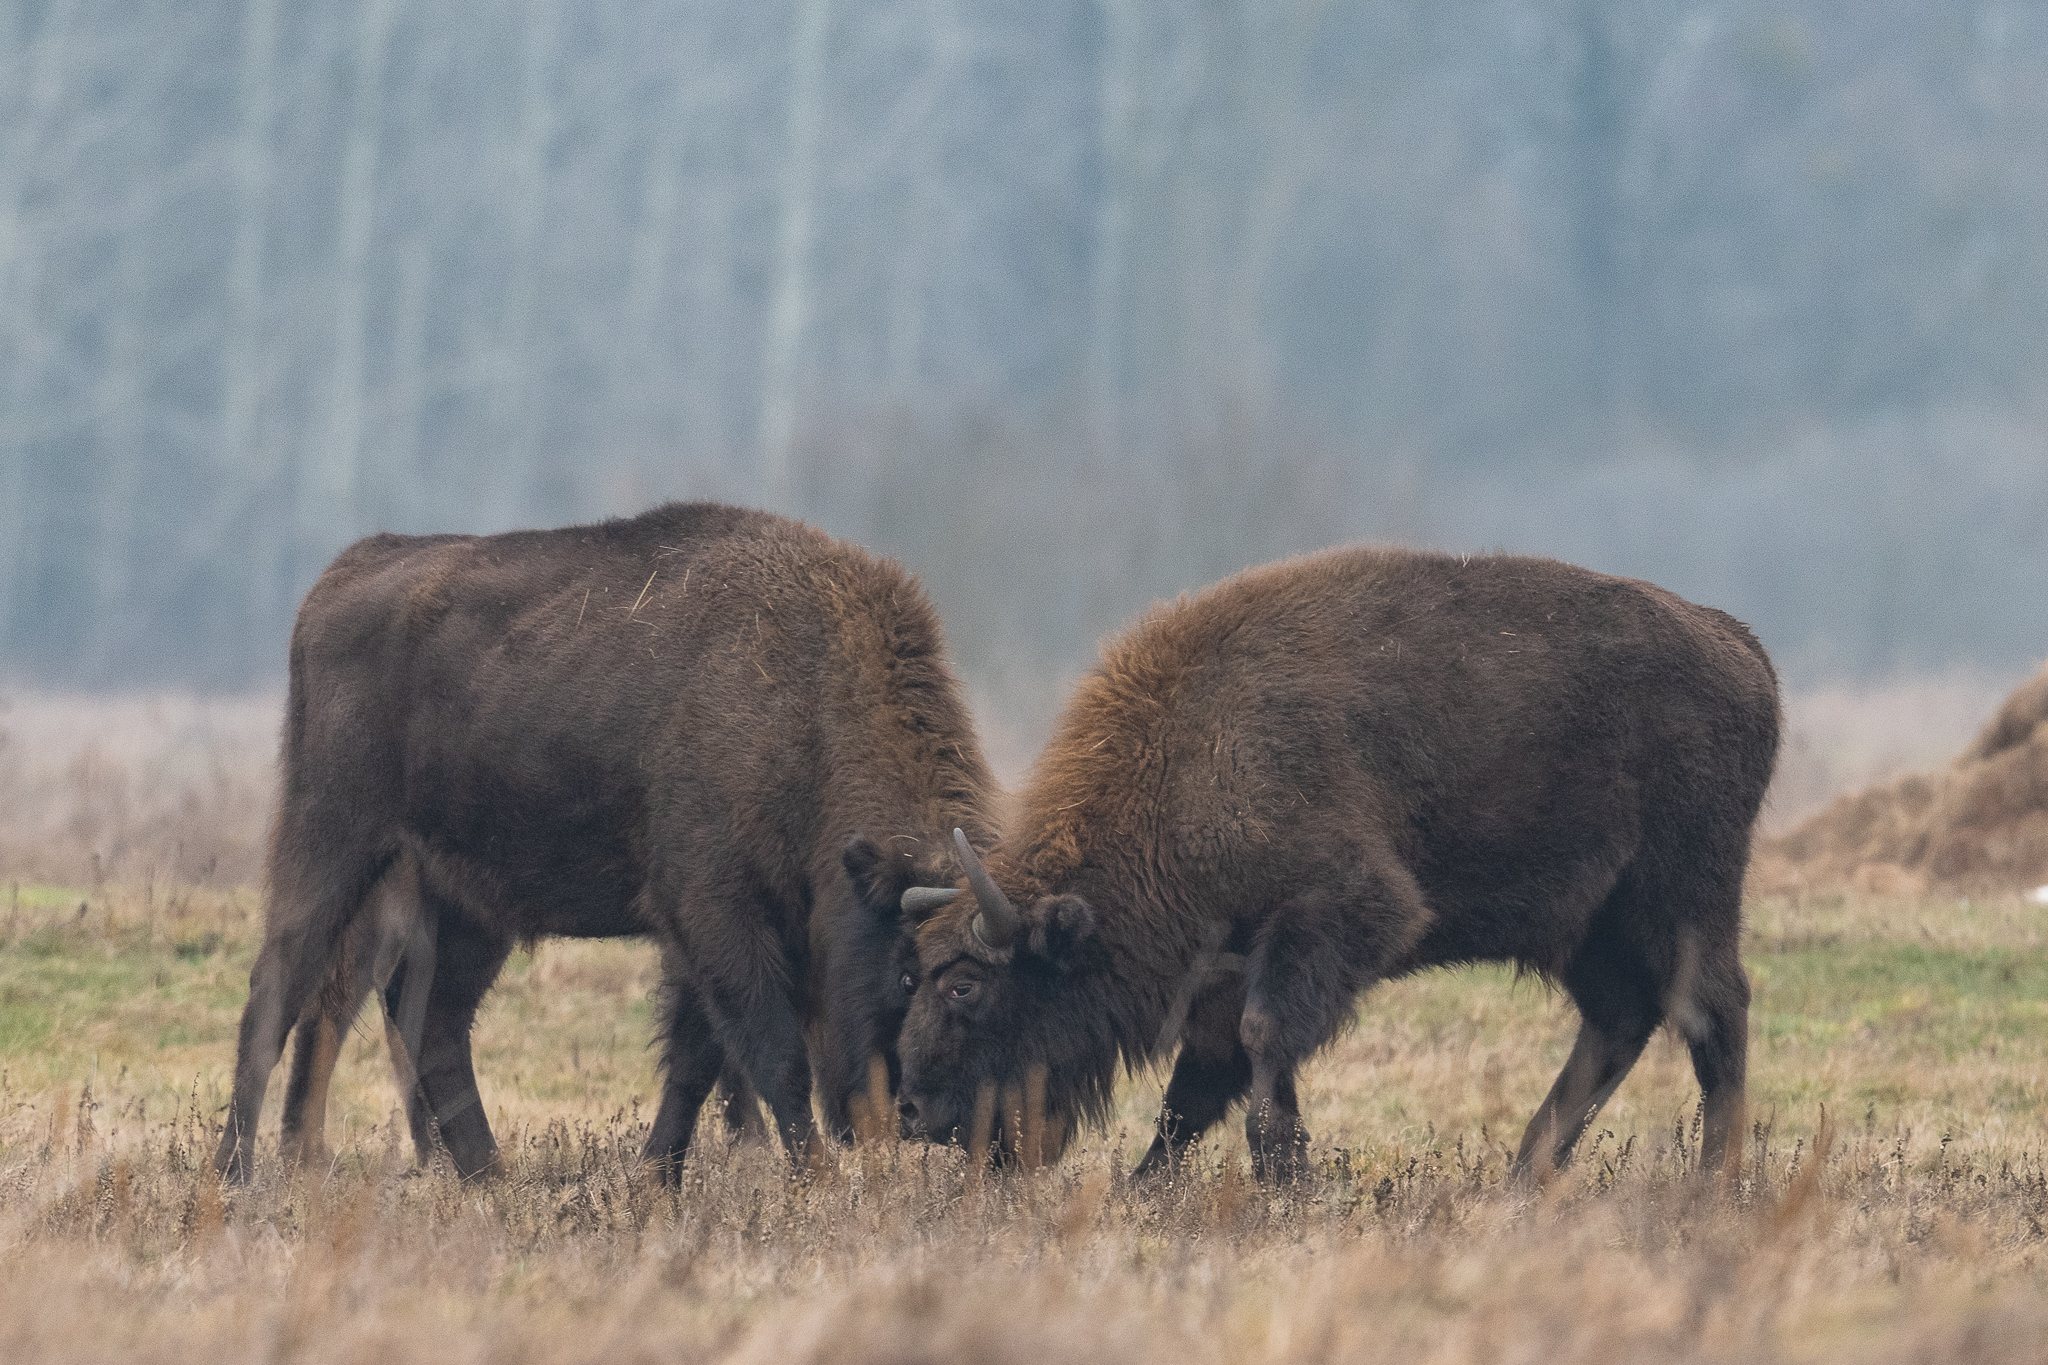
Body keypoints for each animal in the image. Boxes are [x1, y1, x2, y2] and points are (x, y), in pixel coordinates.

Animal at [216, 502, 997, 1182]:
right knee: (277, 992)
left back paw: (489, 1177)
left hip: (471, 904)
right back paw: (237, 1173)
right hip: (333, 844)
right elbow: (773, 1057)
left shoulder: (704, 939)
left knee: (431, 1021)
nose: (912, 1117)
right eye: (910, 973)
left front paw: (657, 1179)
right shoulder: (716, 915)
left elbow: (694, 1062)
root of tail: (345, 572)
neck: (804, 705)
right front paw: (818, 1182)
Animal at [886, 547, 1779, 1182]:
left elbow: (1262, 1041)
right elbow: (1199, 1083)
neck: (1188, 756)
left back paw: (1712, 1183)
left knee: (1714, 1012)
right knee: (1621, 1018)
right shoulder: (1228, 961)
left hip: (1683, 895)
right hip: (1585, 925)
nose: (915, 1111)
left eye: (964, 985)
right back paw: (1522, 1177)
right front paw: (1153, 1184)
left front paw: (1285, 1174)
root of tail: (1739, 646)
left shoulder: (1338, 912)